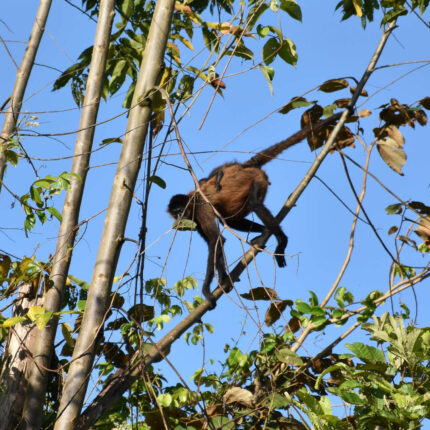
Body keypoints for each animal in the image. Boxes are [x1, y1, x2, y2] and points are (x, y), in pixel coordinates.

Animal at [168, 112, 342, 308]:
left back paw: (282, 240)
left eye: (180, 210)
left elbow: (215, 240)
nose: (179, 217)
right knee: (230, 219)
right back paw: (263, 231)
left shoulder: (200, 209)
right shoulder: (195, 219)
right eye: (174, 212)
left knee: (253, 204)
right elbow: (217, 243)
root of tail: (248, 168)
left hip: (258, 179)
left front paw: (207, 290)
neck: (192, 201)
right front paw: (224, 279)